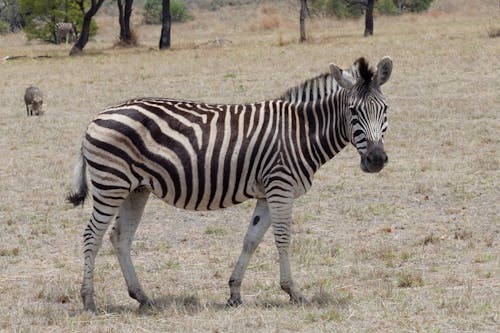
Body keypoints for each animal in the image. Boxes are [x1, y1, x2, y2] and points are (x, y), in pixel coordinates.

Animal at [67, 55, 394, 312]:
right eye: (353, 111)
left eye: (385, 109)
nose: (376, 160)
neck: (301, 131)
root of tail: (97, 116)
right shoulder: (281, 187)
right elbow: (283, 239)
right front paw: (293, 291)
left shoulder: (267, 194)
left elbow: (251, 240)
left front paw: (235, 292)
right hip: (111, 185)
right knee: (92, 236)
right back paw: (89, 301)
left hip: (136, 189)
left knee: (120, 238)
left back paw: (143, 297)